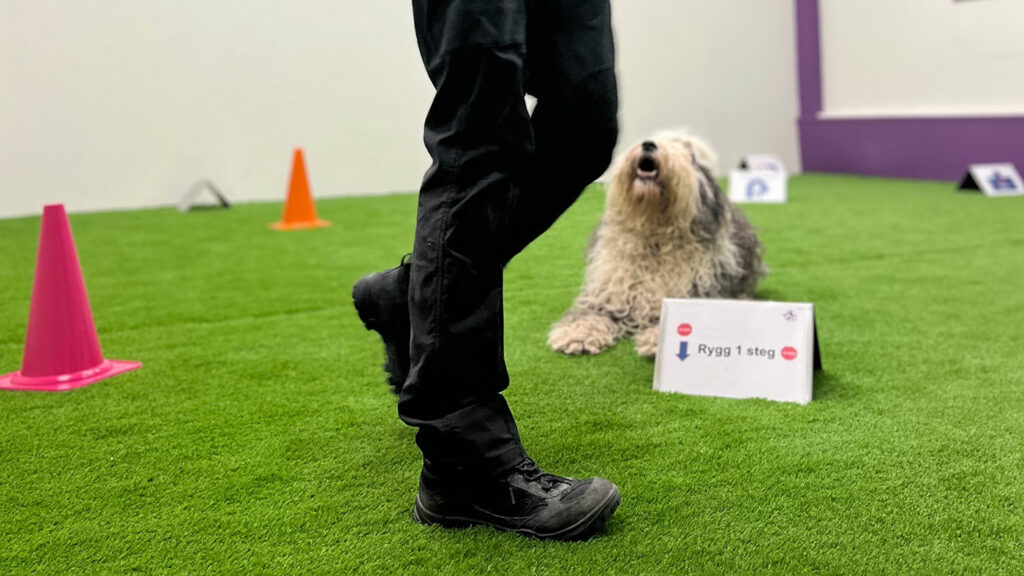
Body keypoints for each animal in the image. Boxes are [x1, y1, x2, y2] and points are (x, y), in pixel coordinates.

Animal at [548, 131, 765, 354]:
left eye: (690, 155)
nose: (649, 144)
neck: (655, 239)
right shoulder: (609, 291)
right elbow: (589, 313)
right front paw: (577, 335)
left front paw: (658, 341)